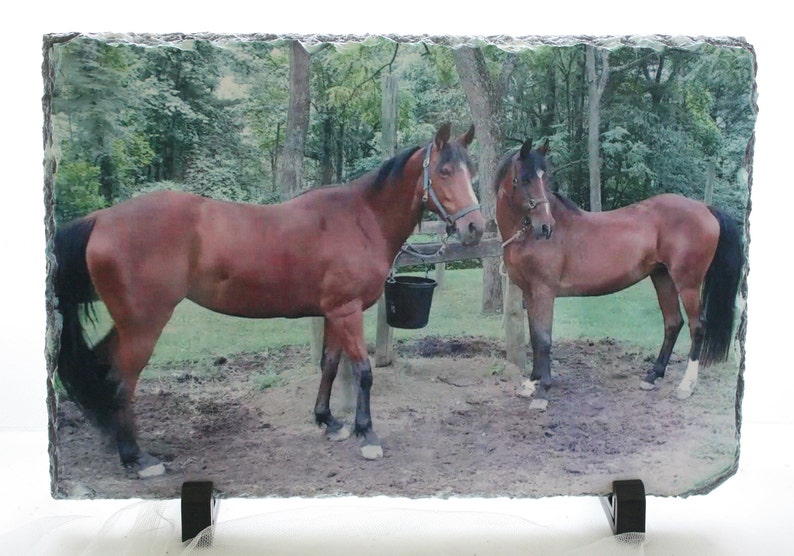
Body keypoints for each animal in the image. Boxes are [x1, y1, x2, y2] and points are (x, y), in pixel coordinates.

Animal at [54, 122, 485, 476]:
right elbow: (363, 372)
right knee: (120, 381)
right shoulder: (347, 312)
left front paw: (328, 421)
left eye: (471, 171)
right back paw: (137, 458)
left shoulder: (333, 313)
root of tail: (101, 218)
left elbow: (330, 366)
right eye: (444, 172)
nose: (474, 227)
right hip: (144, 325)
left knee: (102, 366)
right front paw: (367, 434)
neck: (361, 219)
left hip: (129, 324)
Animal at [495, 139, 743, 402]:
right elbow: (534, 336)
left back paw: (686, 385)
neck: (526, 237)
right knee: (673, 323)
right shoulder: (530, 293)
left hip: (688, 283)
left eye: (545, 180)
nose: (546, 227)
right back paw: (652, 376)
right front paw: (531, 382)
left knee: (697, 326)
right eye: (524, 179)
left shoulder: (544, 291)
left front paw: (543, 391)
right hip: (662, 277)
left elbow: (543, 339)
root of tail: (705, 207)